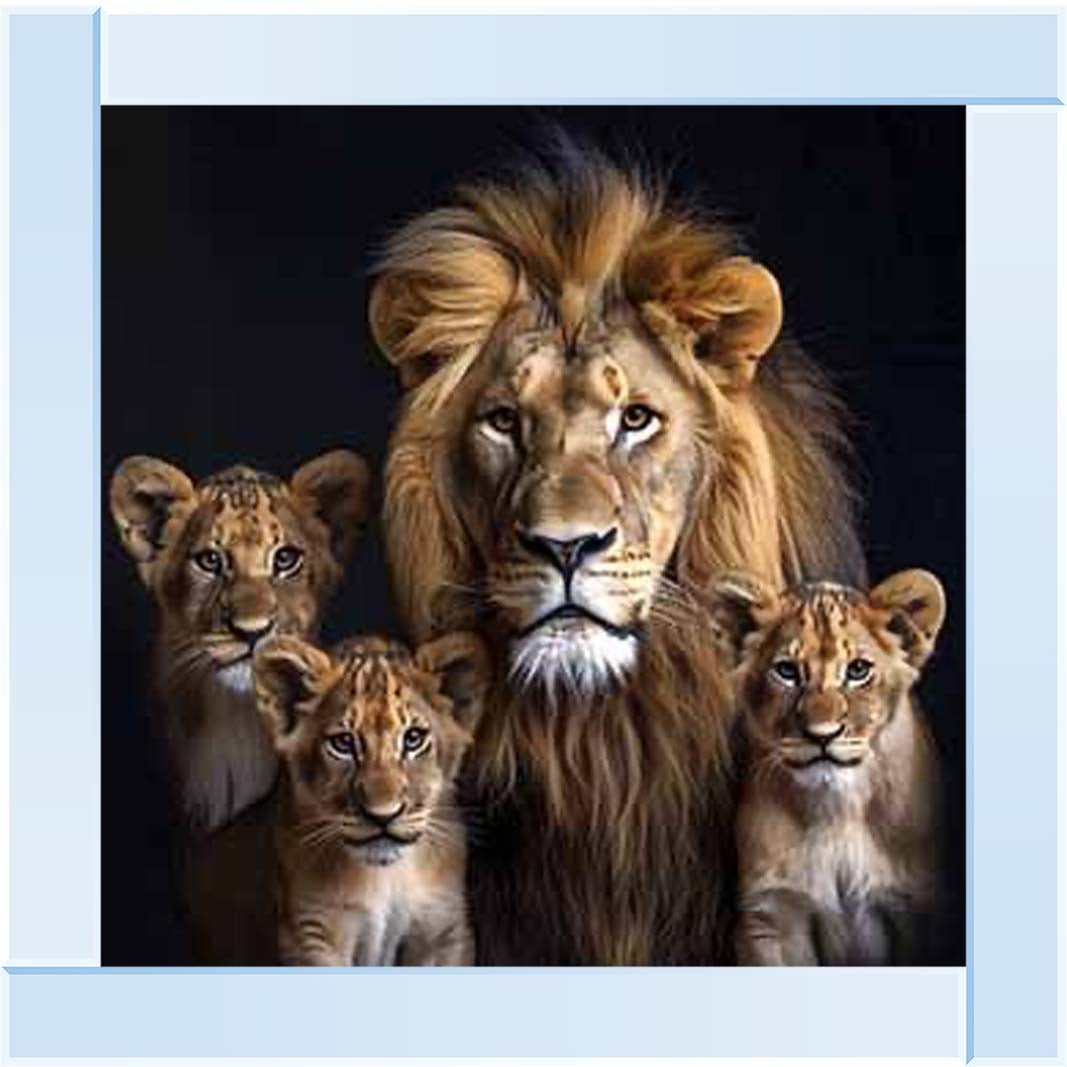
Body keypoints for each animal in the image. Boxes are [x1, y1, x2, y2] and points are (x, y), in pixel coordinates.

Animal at [710, 569, 946, 965]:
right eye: (786, 671)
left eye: (858, 670)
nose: (822, 735)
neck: (837, 808)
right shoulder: (772, 916)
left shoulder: (919, 908)